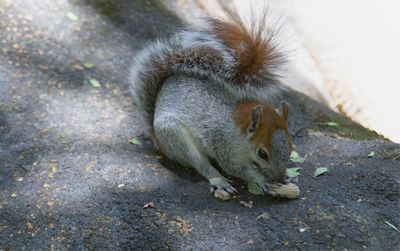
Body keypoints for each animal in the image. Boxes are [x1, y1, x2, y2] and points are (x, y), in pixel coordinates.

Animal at [130, 10, 292, 197]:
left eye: (290, 145)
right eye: (262, 154)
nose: (280, 178)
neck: (240, 130)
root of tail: (158, 140)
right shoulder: (225, 146)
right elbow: (236, 168)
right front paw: (261, 179)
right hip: (176, 138)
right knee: (201, 165)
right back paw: (219, 180)